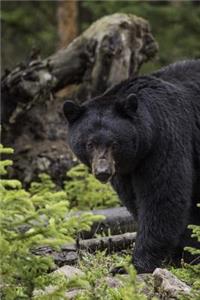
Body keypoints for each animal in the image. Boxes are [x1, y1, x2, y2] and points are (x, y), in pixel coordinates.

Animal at [63, 59, 200, 274]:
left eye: (114, 143)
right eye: (90, 143)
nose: (103, 172)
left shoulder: (166, 139)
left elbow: (162, 197)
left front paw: (134, 265)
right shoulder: (127, 169)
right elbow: (134, 199)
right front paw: (182, 253)